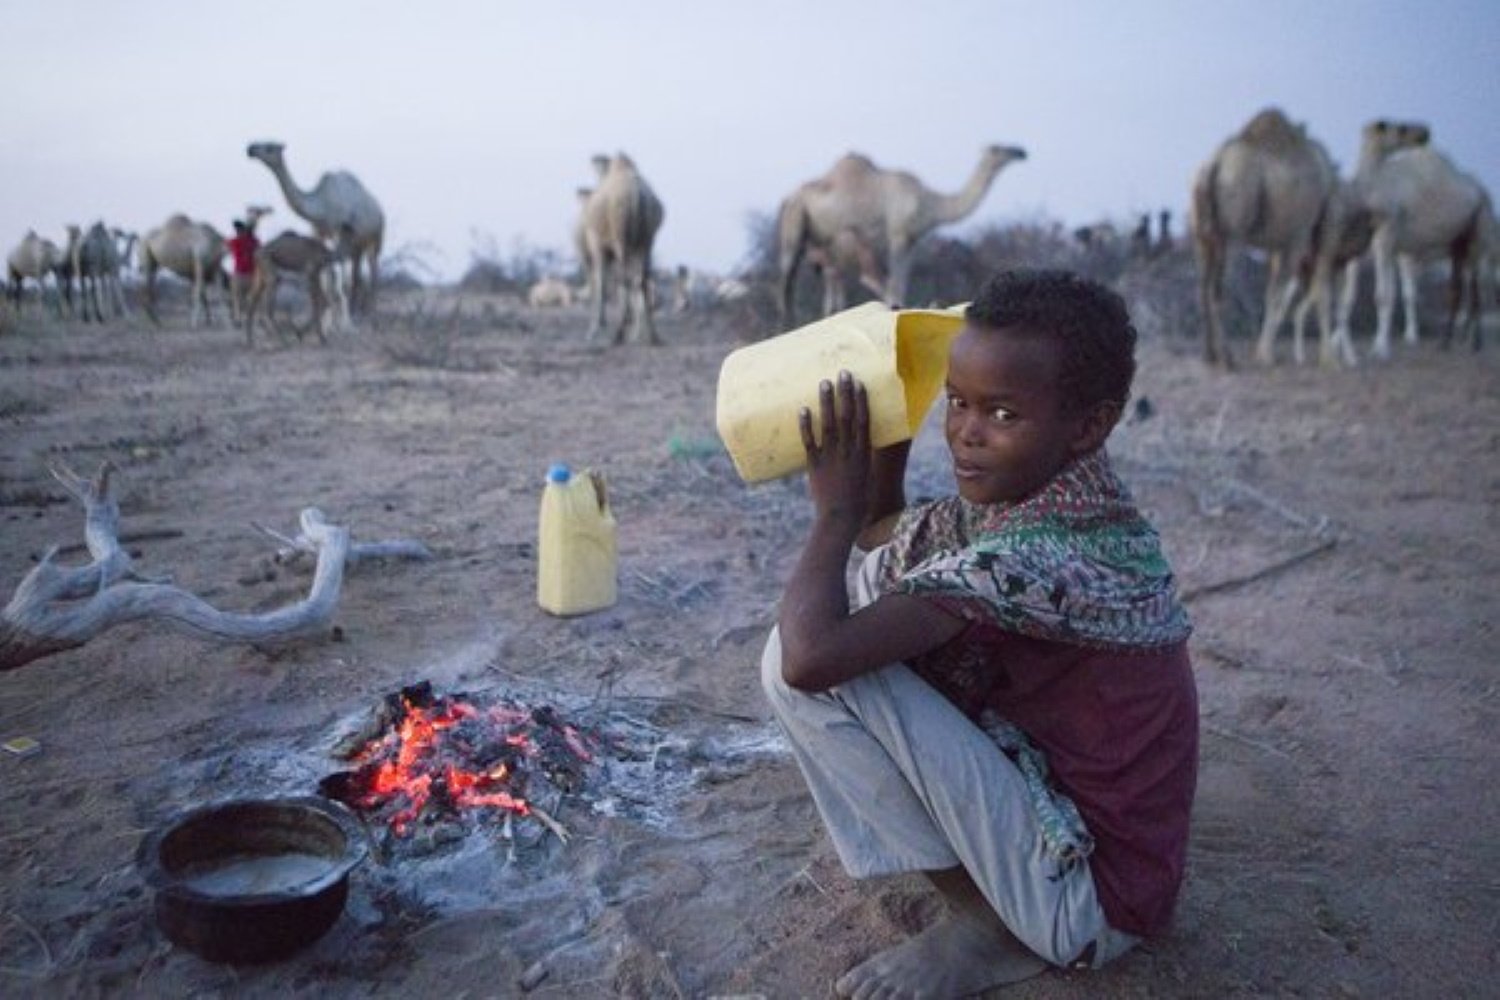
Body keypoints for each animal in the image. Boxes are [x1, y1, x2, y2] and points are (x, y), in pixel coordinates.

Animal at [247, 141, 384, 316]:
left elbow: (335, 278)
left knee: (372, 270)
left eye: (269, 147)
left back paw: (367, 310)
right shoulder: (318, 232)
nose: (250, 149)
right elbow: (325, 277)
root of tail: (379, 208)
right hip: (358, 244)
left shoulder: (337, 230)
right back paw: (356, 309)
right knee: (356, 274)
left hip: (377, 237)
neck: (320, 203)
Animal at [579, 152, 663, 346]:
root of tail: (637, 196)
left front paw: (594, 330)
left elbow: (601, 283)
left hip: (621, 238)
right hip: (647, 241)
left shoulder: (598, 244)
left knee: (624, 279)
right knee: (643, 278)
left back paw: (618, 333)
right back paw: (652, 336)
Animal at [780, 144, 1026, 322]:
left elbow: (900, 281)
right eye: (999, 149)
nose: (1021, 152)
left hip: (824, 241)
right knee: (788, 279)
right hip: (795, 226)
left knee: (830, 277)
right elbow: (896, 283)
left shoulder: (911, 241)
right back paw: (788, 324)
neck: (929, 203)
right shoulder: (898, 233)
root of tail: (787, 199)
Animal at [1194, 109, 1338, 367]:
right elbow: (1281, 294)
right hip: (1233, 232)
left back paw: (1209, 355)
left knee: (1202, 286)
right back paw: (1228, 357)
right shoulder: (1298, 236)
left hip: (1204, 236)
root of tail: (1213, 164)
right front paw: (1267, 355)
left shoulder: (1279, 244)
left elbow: (1273, 292)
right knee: (1220, 287)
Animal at [1356, 119, 1494, 359]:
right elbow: (1400, 293)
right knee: (1459, 288)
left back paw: (1475, 342)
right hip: (1458, 242)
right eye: (1401, 128)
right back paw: (1449, 341)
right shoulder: (1391, 247)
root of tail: (1482, 192)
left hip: (1478, 235)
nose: (1425, 131)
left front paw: (1380, 347)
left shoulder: (1387, 237)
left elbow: (1384, 295)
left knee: (1476, 289)